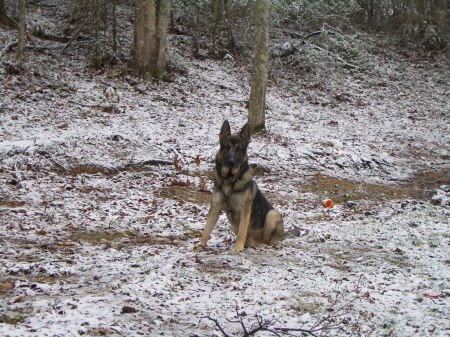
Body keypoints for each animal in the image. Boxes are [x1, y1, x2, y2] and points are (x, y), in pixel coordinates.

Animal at [201, 120, 284, 249]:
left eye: (238, 149)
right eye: (227, 147)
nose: (231, 162)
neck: (230, 180)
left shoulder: (245, 210)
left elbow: (242, 231)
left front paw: (238, 248)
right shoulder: (215, 207)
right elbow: (206, 229)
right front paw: (198, 246)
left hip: (272, 215)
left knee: (267, 240)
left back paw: (260, 244)